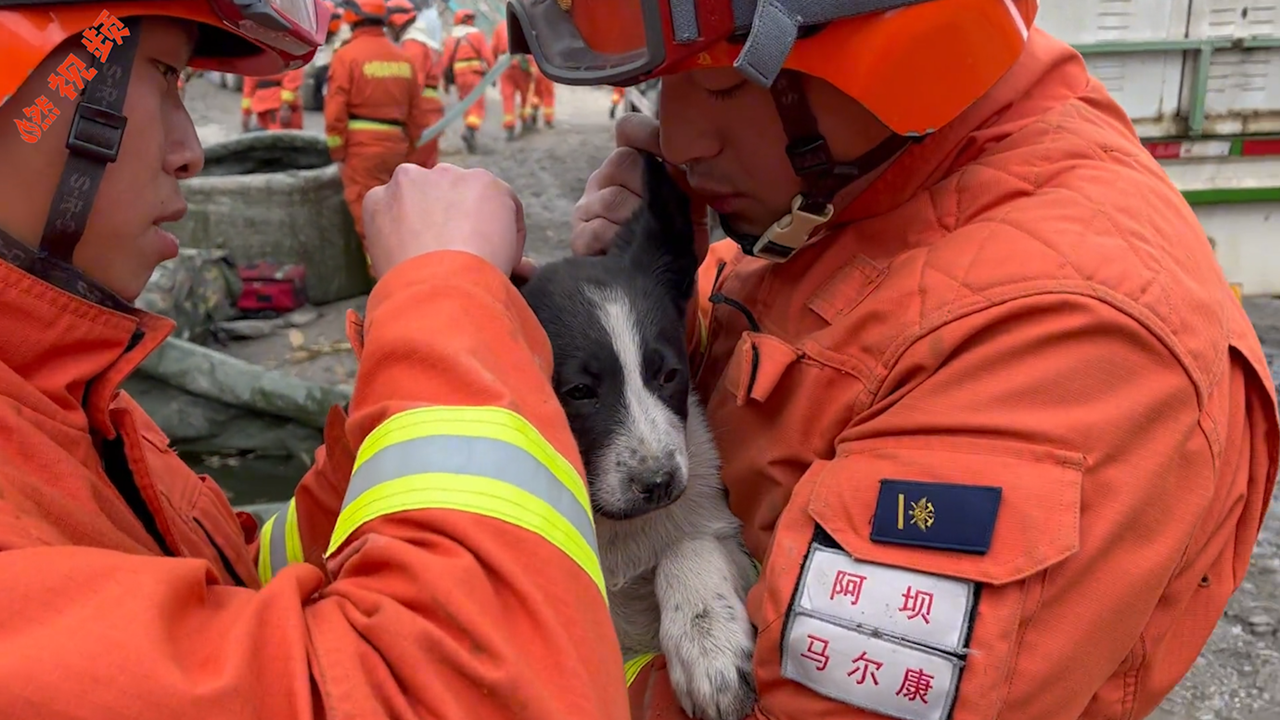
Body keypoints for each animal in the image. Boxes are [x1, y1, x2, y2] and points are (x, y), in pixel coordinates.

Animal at [519, 151, 757, 717]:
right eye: (579, 391)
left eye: (668, 374)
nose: (660, 484)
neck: (614, 527)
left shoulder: (727, 536)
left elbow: (685, 547)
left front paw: (709, 643)